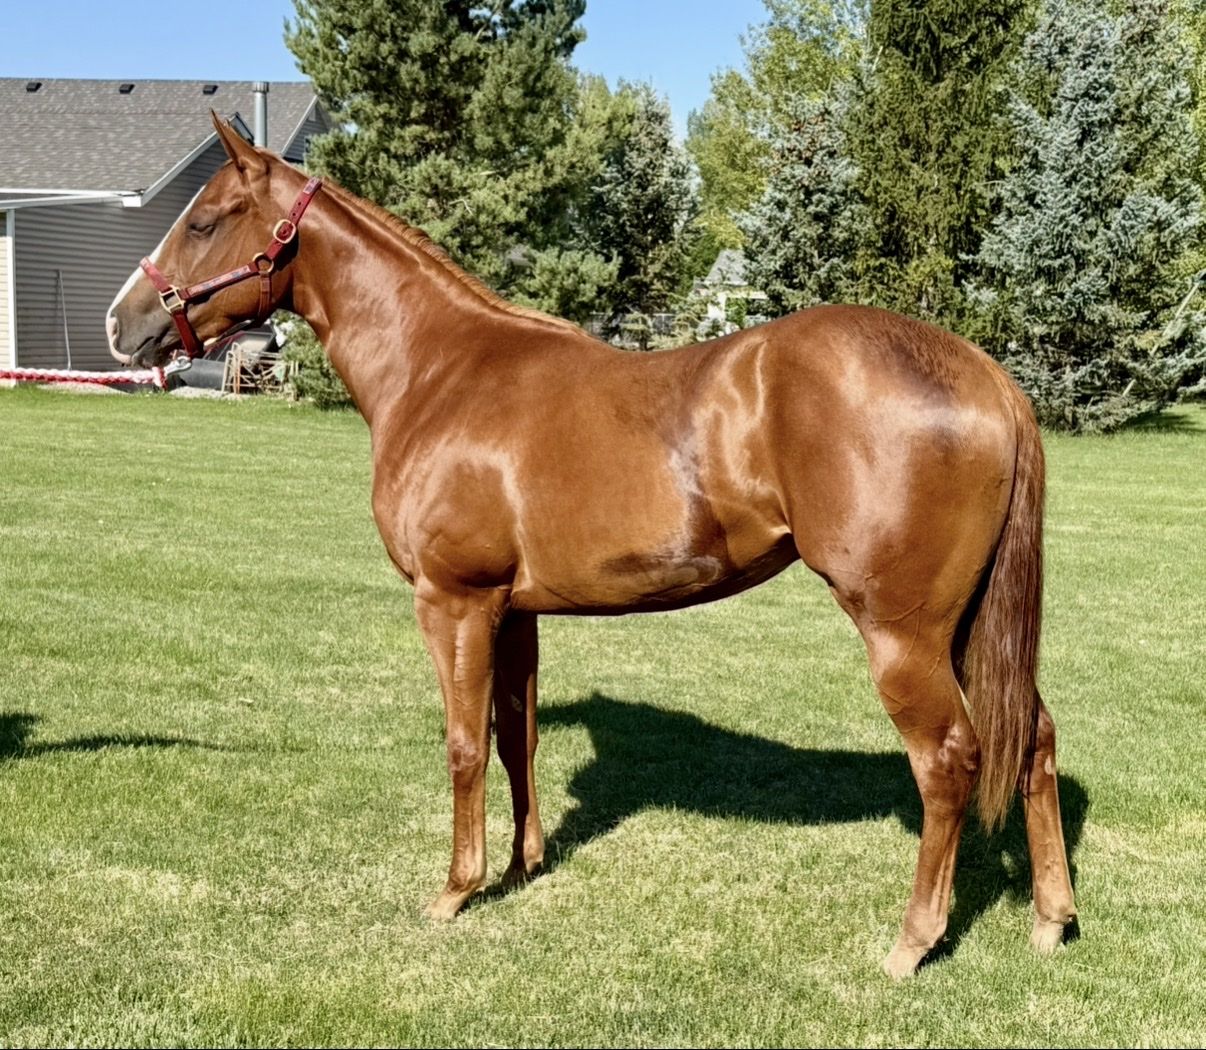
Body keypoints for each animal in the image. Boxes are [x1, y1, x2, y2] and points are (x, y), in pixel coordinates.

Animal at [107, 115, 1077, 977]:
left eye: (204, 220)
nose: (122, 326)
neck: (440, 370)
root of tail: (986, 375)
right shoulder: (512, 611)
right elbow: (516, 736)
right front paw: (521, 865)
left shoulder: (452, 602)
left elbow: (462, 744)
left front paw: (455, 890)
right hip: (968, 625)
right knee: (1032, 739)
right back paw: (1050, 918)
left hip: (903, 632)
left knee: (948, 762)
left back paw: (913, 942)